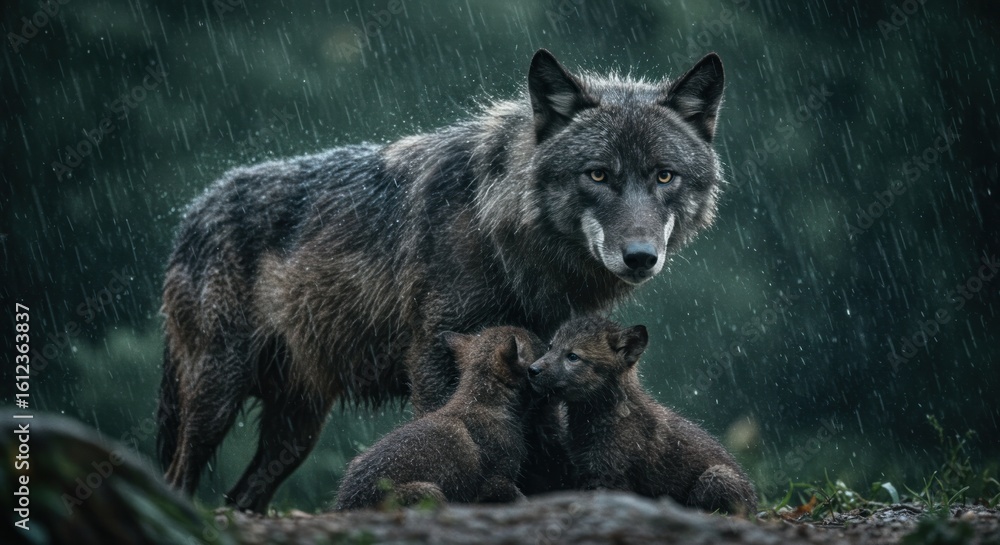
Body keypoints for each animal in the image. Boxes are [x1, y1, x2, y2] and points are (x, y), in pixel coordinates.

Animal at [157, 48, 726, 512]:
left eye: (664, 175)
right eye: (598, 174)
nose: (640, 257)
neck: (504, 237)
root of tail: (194, 210)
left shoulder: (543, 364)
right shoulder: (434, 354)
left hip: (296, 428)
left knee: (240, 497)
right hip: (214, 396)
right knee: (178, 474)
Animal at [528, 316, 757, 515]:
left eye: (573, 356)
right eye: (550, 347)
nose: (532, 369)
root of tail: (755, 504)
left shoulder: (608, 476)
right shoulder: (584, 469)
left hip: (716, 477)